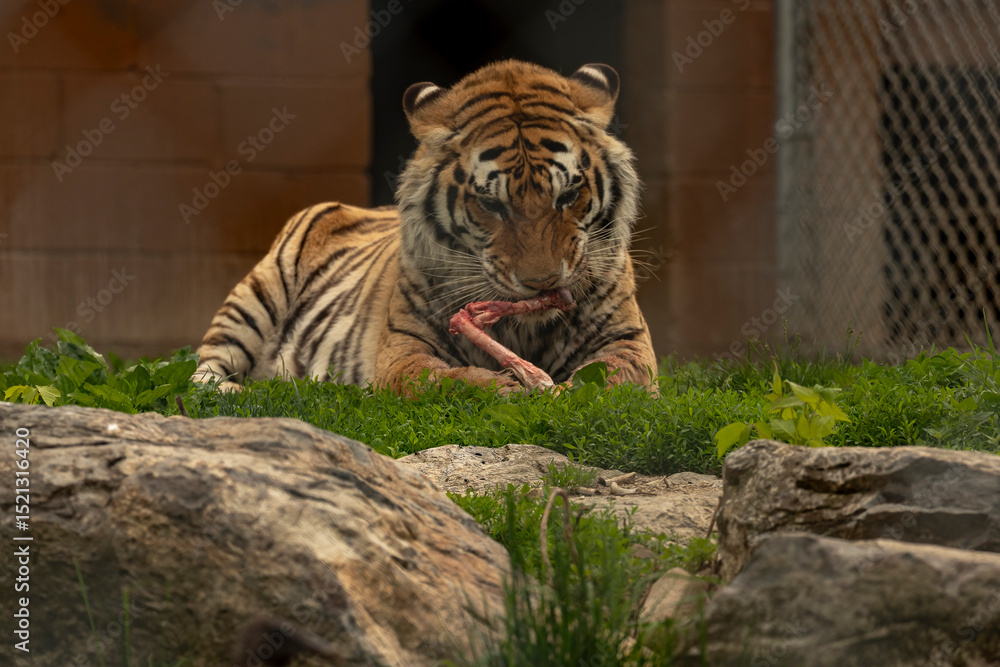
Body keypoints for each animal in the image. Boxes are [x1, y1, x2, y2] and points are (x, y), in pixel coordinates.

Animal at [192, 60, 658, 394]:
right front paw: (502, 388)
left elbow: (615, 376)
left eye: (567, 195)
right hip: (254, 299)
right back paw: (233, 392)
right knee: (202, 373)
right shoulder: (404, 346)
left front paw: (570, 390)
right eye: (491, 204)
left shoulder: (627, 337)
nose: (542, 285)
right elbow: (438, 378)